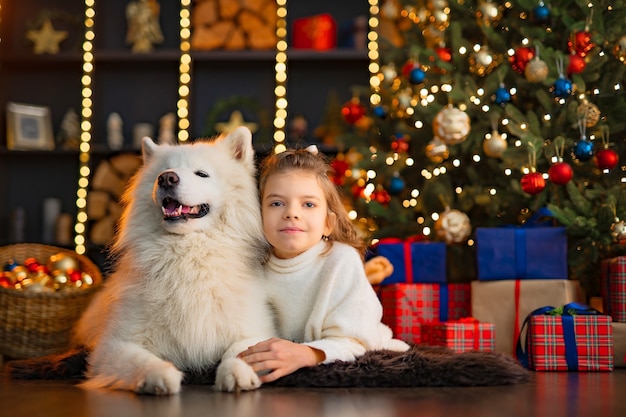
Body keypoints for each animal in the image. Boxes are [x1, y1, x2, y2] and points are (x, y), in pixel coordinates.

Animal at [72, 126, 274, 394]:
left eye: (202, 174)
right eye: (163, 172)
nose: (167, 178)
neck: (187, 254)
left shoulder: (256, 330)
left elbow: (241, 351)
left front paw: (237, 373)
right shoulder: (113, 344)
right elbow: (140, 359)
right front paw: (160, 377)